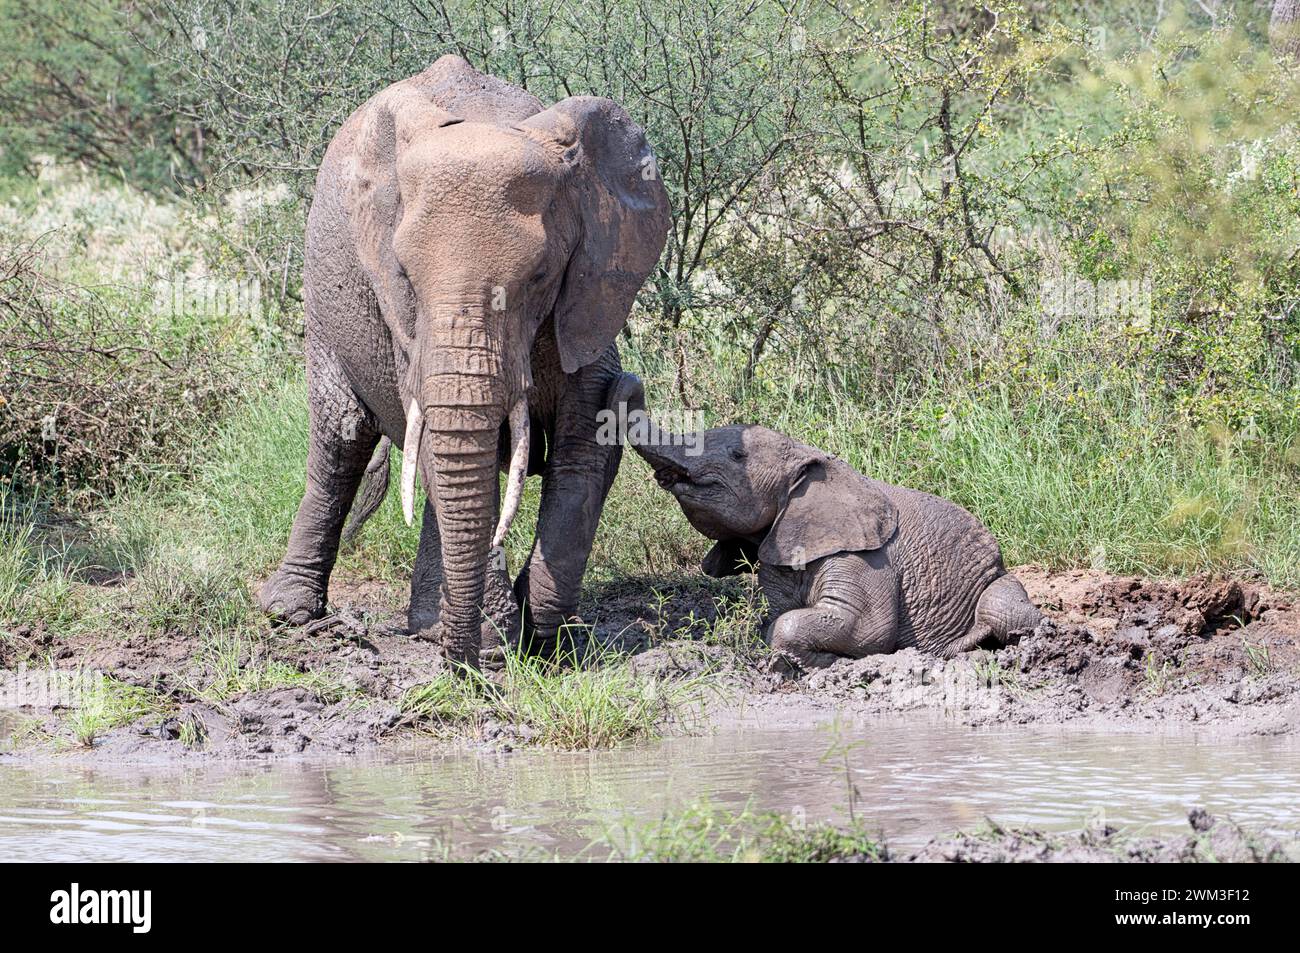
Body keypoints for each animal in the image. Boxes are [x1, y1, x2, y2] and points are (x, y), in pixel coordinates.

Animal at [258, 55, 670, 668]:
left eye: (541, 276)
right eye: (405, 276)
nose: (463, 669)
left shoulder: (587, 295)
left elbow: (583, 440)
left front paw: (542, 633)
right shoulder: (404, 324)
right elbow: (428, 431)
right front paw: (496, 645)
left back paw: (433, 625)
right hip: (322, 300)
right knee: (342, 441)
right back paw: (292, 613)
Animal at [611, 377, 1041, 672]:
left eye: (736, 456)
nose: (627, 379)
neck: (810, 460)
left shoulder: (865, 557)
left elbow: (862, 627)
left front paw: (820, 664)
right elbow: (777, 617)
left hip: (996, 583)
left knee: (1003, 609)